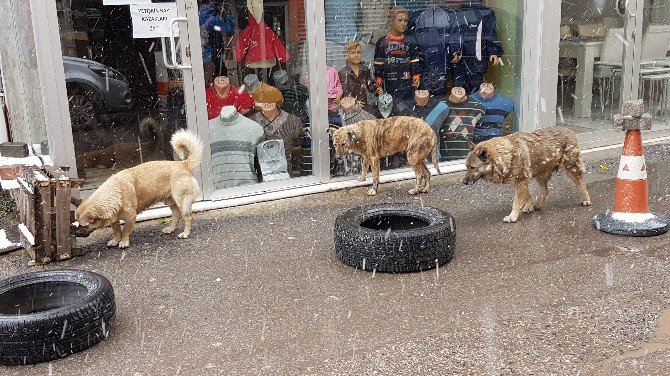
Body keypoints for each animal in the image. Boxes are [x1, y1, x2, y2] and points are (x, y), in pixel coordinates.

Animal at [74, 129, 203, 247]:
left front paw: (124, 242)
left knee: (188, 218)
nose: (75, 233)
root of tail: (183, 164)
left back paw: (185, 234)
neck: (114, 192)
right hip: (171, 201)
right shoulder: (114, 220)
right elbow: (116, 231)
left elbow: (125, 231)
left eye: (83, 225)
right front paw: (116, 241)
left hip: (182, 202)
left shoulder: (130, 217)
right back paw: (170, 229)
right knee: (176, 215)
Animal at [462, 126, 592, 222]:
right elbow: (527, 195)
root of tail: (570, 131)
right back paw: (538, 204)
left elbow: (516, 202)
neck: (503, 155)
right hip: (540, 173)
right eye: (466, 167)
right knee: (545, 190)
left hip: (571, 169)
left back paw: (586, 199)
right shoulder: (521, 181)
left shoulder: (520, 181)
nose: (463, 182)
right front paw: (529, 206)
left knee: (582, 184)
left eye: (473, 167)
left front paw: (513, 216)